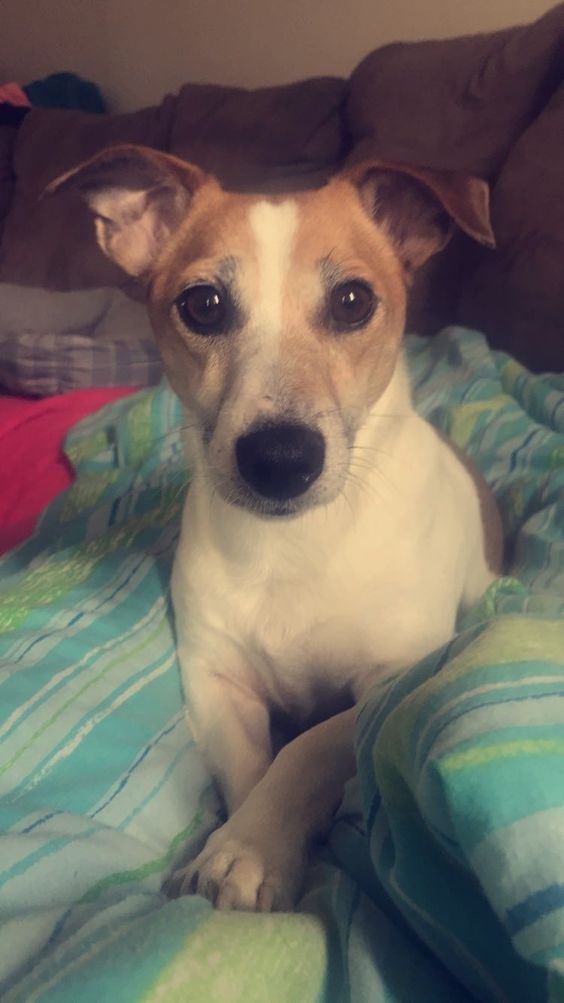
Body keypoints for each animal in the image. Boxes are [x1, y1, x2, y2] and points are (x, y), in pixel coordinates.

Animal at [47, 146, 495, 910]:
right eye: (203, 304)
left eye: (353, 301)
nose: (280, 459)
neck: (292, 545)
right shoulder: (217, 679)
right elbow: (252, 767)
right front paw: (252, 843)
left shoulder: (393, 677)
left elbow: (307, 748)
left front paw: (251, 848)